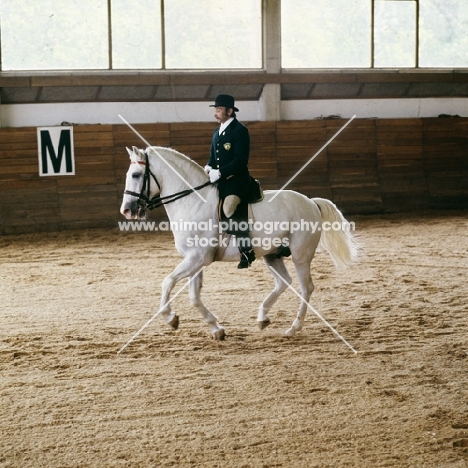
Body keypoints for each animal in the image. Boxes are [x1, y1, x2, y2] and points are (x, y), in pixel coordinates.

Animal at [120, 146, 358, 340]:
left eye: (136, 174)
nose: (127, 210)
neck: (193, 202)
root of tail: (310, 202)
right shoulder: (195, 260)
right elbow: (194, 297)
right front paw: (216, 329)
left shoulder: (197, 258)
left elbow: (167, 282)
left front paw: (170, 318)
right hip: (272, 255)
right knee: (283, 282)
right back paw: (262, 318)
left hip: (301, 255)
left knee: (305, 287)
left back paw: (293, 328)